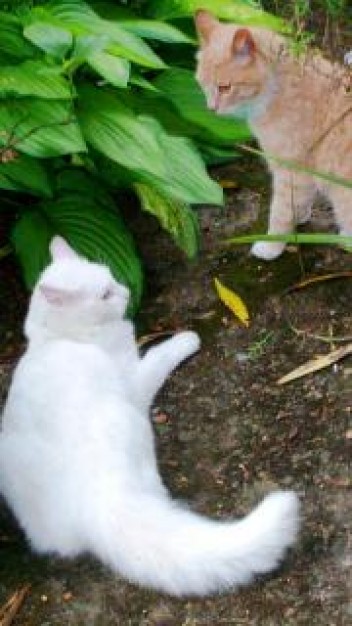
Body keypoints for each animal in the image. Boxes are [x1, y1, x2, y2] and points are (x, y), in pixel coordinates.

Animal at [0, 235, 300, 596]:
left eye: (111, 278)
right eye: (104, 294)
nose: (125, 291)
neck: (58, 339)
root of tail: (94, 506)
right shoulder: (135, 380)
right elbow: (160, 354)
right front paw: (187, 339)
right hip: (129, 422)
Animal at [195, 9, 352, 258]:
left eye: (224, 88)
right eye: (202, 84)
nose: (212, 108)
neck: (275, 90)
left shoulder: (291, 170)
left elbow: (280, 212)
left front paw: (271, 245)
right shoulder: (300, 175)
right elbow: (299, 202)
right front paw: (301, 216)